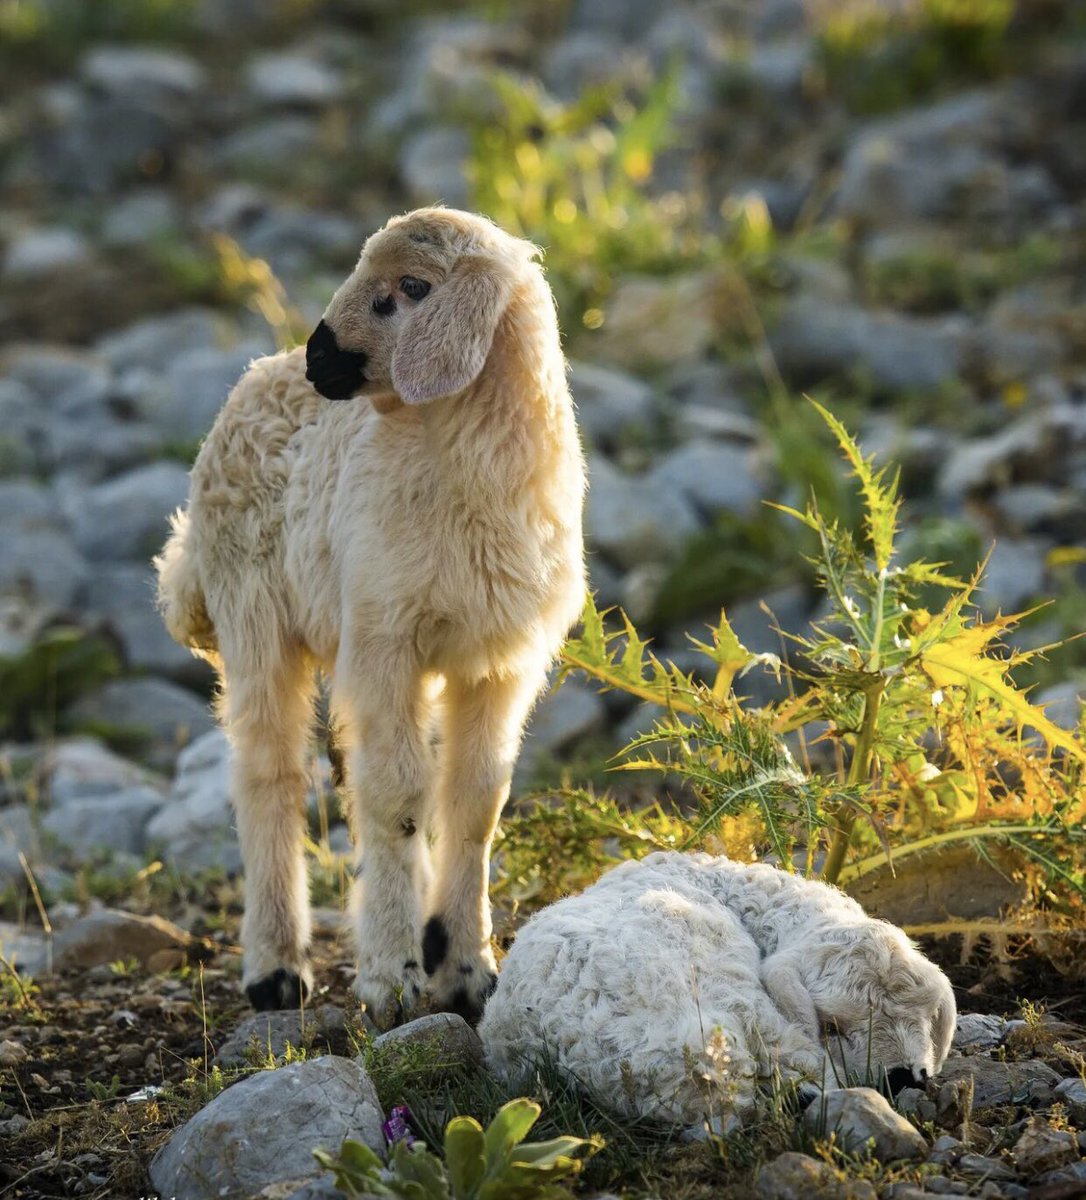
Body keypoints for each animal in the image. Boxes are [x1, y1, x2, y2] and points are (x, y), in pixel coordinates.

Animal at [154, 206, 585, 1022]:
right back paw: (276, 969)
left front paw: (465, 969)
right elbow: (399, 796)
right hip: (251, 613)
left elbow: (475, 800)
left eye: (411, 289)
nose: (321, 357)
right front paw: (393, 976)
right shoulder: (386, 638)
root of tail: (254, 377)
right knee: (269, 774)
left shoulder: (501, 661)